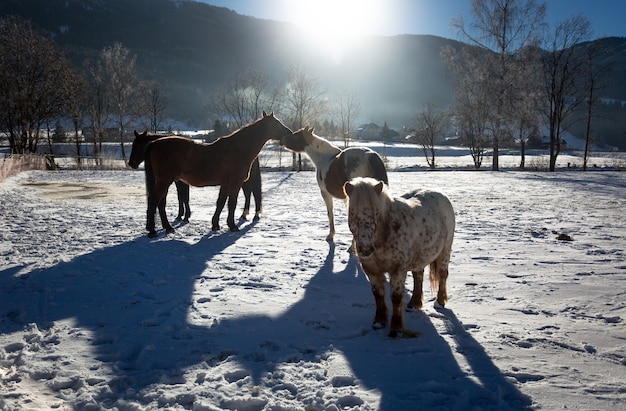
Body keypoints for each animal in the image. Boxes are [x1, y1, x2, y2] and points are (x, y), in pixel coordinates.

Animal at [142, 112, 290, 238]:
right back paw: (153, 230)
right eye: (276, 124)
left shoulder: (225, 184)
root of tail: (153, 144)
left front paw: (215, 225)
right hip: (164, 182)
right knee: (154, 201)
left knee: (159, 203)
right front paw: (232, 225)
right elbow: (232, 203)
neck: (238, 149)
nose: (289, 134)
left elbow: (220, 203)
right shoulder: (234, 184)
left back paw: (167, 228)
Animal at [342, 177, 454, 338]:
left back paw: (439, 302)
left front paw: (395, 329)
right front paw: (379, 322)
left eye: (376, 213)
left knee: (443, 274)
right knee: (418, 276)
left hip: (445, 251)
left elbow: (396, 298)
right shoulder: (372, 271)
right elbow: (378, 295)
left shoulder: (398, 270)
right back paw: (414, 304)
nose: (365, 249)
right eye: (352, 213)